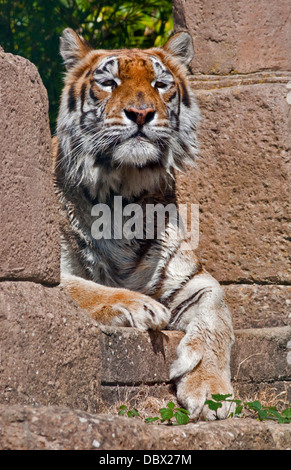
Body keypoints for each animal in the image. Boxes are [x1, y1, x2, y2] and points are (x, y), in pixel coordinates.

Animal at [52, 27, 235, 420]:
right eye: (108, 82)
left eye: (160, 84)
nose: (140, 113)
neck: (123, 192)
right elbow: (77, 286)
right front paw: (139, 306)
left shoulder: (195, 281)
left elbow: (217, 320)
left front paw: (211, 392)